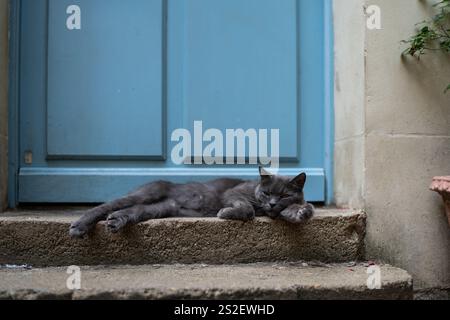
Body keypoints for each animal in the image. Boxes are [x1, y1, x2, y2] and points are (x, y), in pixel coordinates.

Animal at [69, 168, 316, 238]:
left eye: (284, 196)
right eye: (266, 192)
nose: (272, 203)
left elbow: (296, 209)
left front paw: (302, 211)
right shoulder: (233, 192)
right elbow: (247, 209)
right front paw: (225, 213)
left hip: (157, 209)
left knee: (132, 211)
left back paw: (115, 222)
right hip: (146, 193)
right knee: (106, 205)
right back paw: (79, 227)